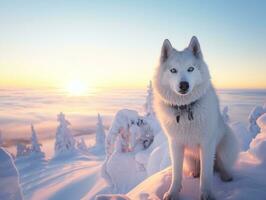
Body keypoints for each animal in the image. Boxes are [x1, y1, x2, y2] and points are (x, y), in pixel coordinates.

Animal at [154, 36, 239, 200]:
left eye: (190, 69)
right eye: (173, 70)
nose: (184, 85)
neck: (186, 108)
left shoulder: (207, 144)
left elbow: (206, 175)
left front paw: (207, 194)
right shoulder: (176, 145)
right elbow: (176, 174)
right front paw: (172, 193)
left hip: (226, 146)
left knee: (221, 165)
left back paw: (226, 175)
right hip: (189, 158)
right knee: (199, 169)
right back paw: (195, 173)